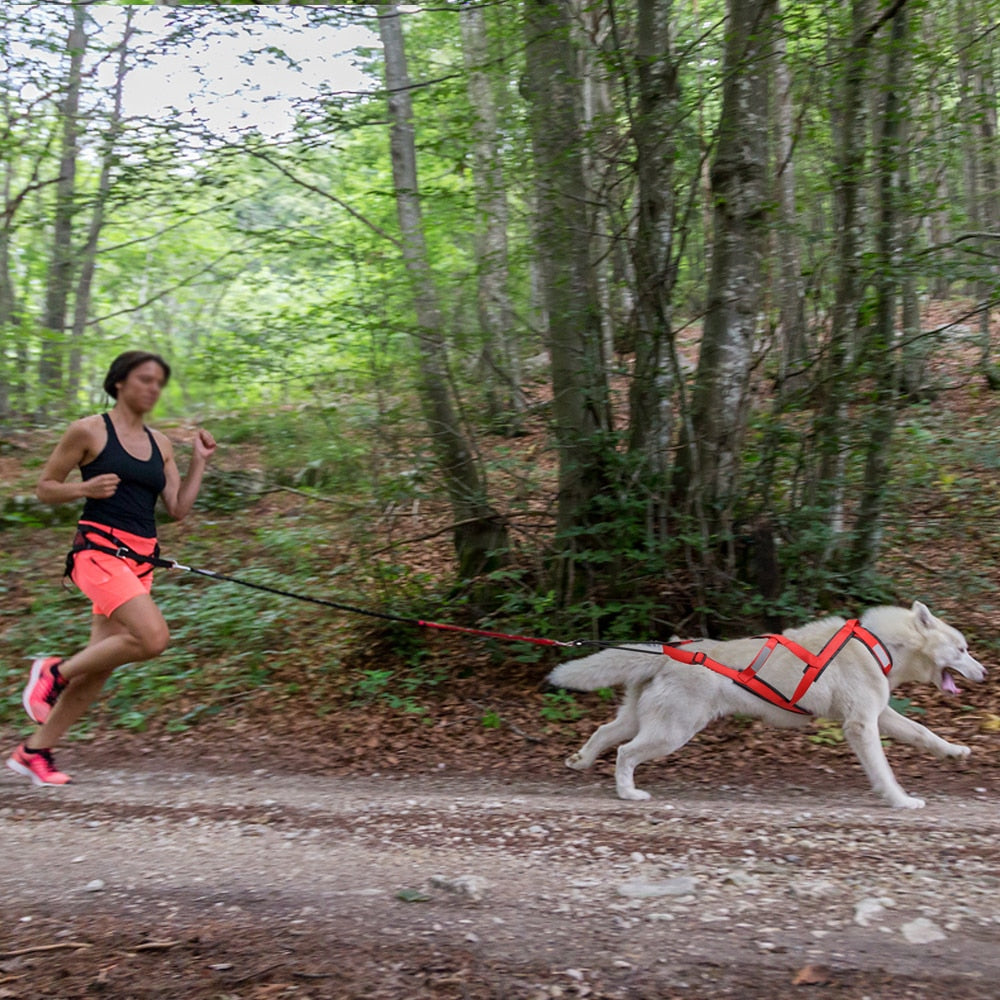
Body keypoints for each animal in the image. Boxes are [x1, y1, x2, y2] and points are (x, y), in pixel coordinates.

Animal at [548, 600, 984, 804]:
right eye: (962, 650)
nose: (984, 673)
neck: (880, 644)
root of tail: (670, 652)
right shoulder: (861, 725)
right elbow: (883, 771)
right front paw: (901, 800)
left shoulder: (882, 714)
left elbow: (923, 732)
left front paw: (955, 752)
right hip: (673, 731)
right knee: (625, 752)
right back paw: (628, 793)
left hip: (644, 718)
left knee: (606, 731)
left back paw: (580, 760)